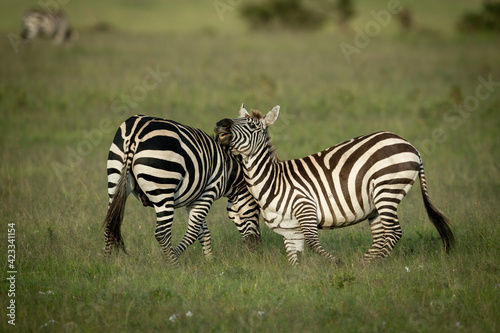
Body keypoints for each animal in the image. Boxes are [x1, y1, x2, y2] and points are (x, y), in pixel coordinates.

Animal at [105, 115, 262, 266]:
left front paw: (209, 262)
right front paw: (175, 258)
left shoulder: (193, 199)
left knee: (109, 223)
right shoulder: (209, 192)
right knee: (162, 233)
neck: (228, 171)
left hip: (115, 178)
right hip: (163, 189)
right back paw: (175, 266)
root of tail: (135, 133)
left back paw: (107, 263)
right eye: (258, 209)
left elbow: (203, 233)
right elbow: (193, 233)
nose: (256, 246)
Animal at [213, 104, 456, 264]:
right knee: (381, 236)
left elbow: (314, 244)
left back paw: (367, 267)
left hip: (387, 188)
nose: (220, 124)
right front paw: (297, 286)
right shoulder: (290, 232)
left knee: (394, 233)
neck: (273, 182)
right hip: (376, 203)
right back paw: (365, 265)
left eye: (252, 126)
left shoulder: (306, 210)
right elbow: (295, 262)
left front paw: (337, 264)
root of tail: (410, 145)